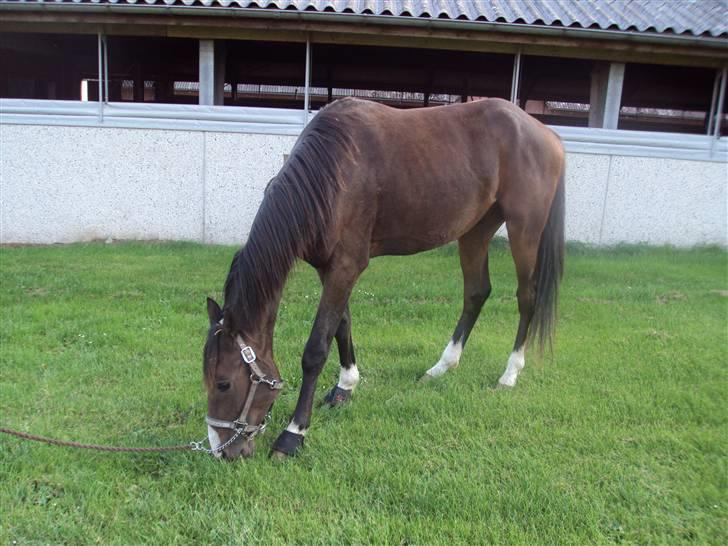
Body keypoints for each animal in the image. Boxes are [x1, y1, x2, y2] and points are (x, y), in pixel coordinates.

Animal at [202, 95, 564, 456]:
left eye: (223, 383)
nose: (221, 450)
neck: (333, 172)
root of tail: (548, 135)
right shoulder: (329, 267)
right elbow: (342, 324)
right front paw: (345, 386)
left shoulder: (346, 266)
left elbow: (316, 348)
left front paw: (294, 433)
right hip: (476, 230)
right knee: (476, 292)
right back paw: (441, 367)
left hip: (524, 230)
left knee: (526, 298)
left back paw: (510, 373)